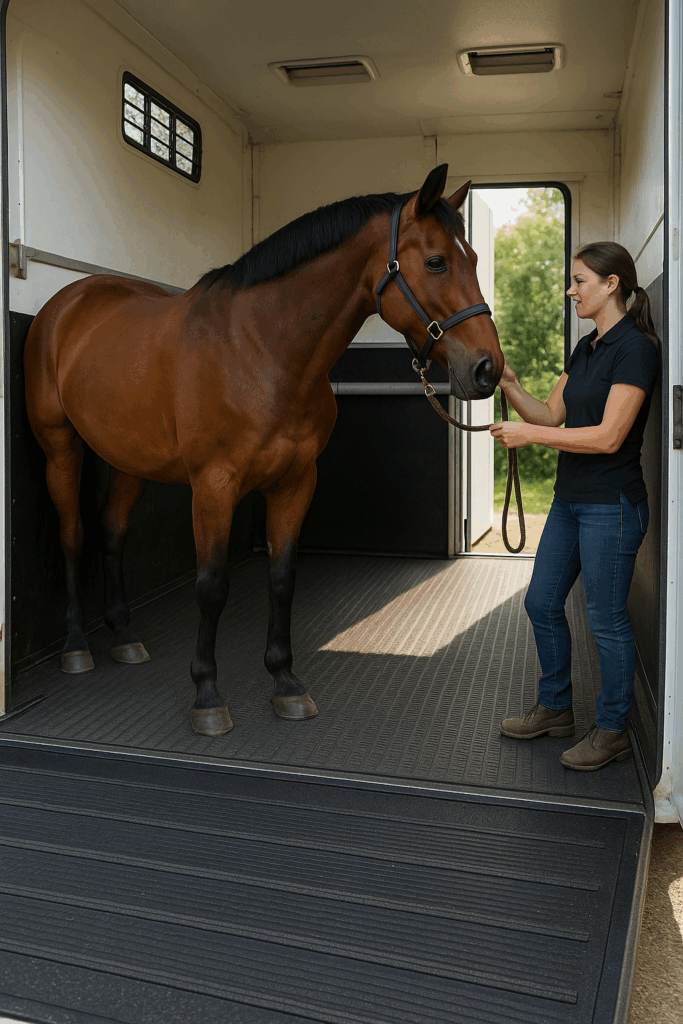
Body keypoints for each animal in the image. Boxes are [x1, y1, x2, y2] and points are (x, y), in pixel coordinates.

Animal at [24, 163, 504, 736]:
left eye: (472, 259)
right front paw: (207, 694)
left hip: (128, 458)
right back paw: (77, 645)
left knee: (112, 530)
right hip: (60, 446)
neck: (259, 348)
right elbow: (211, 586)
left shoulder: (296, 482)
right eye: (435, 261)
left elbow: (282, 578)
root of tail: (66, 304)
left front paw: (286, 683)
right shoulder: (213, 486)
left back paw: (123, 636)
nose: (487, 369)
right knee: (73, 532)